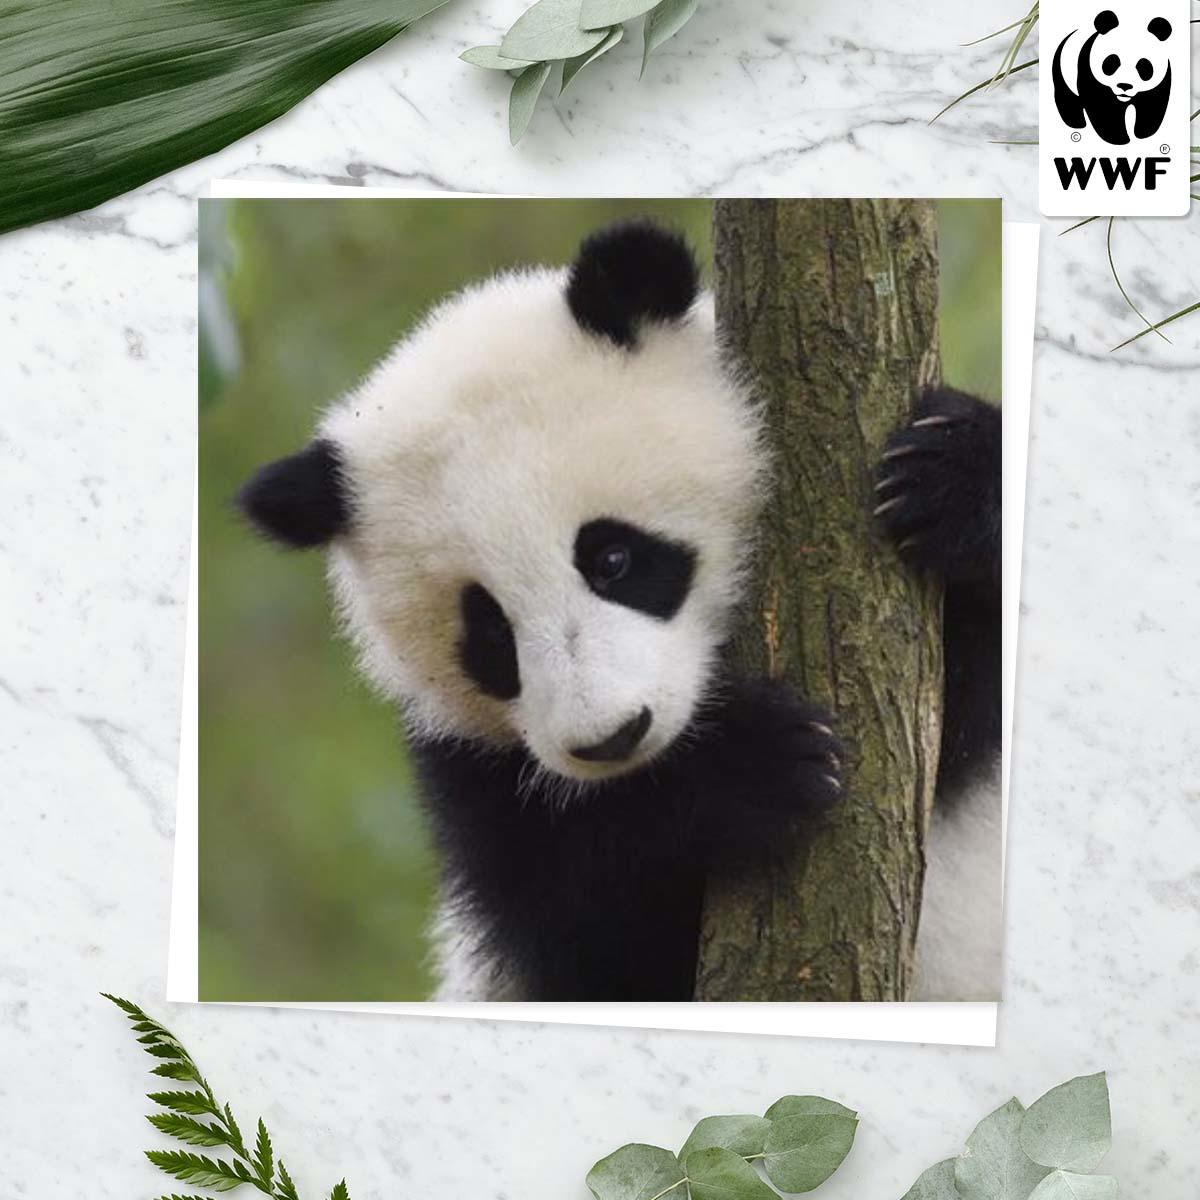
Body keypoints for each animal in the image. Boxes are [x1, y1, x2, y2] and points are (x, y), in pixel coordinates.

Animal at [238, 220, 1002, 1003]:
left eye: (612, 560)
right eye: (489, 634)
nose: (612, 738)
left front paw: (948, 477)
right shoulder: (470, 777)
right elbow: (585, 918)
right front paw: (753, 763)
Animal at [1052, 9, 1173, 146]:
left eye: (1144, 66)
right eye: (1111, 62)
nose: (1125, 86)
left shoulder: (1161, 80)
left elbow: (1151, 104)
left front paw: (1143, 134)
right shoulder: (1089, 71)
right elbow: (1103, 108)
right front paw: (1119, 139)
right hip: (1061, 69)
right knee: (1066, 97)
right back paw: (1077, 124)